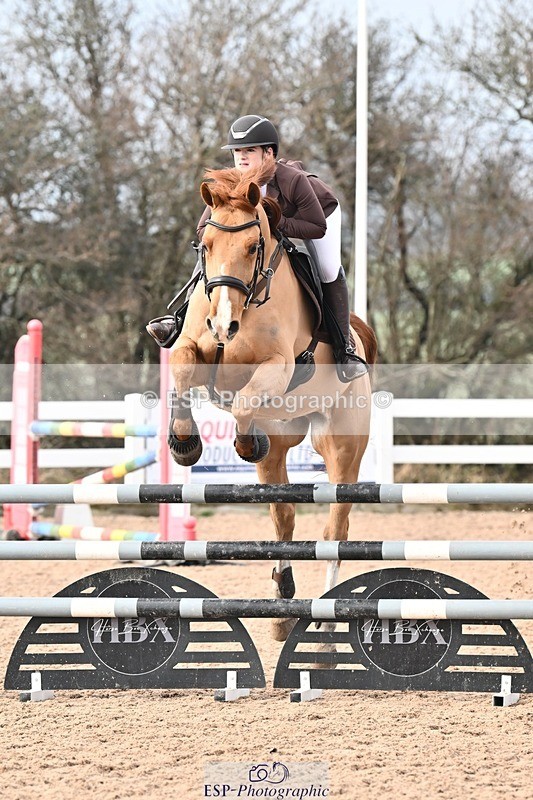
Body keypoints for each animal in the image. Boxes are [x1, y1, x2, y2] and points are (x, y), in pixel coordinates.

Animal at [168, 164, 377, 641]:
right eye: (205, 245)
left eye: (252, 247)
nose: (223, 324)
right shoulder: (193, 347)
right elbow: (183, 369)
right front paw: (185, 444)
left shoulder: (277, 365)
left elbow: (244, 402)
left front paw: (243, 443)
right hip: (282, 444)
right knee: (283, 515)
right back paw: (282, 605)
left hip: (341, 446)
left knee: (334, 528)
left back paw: (323, 624)